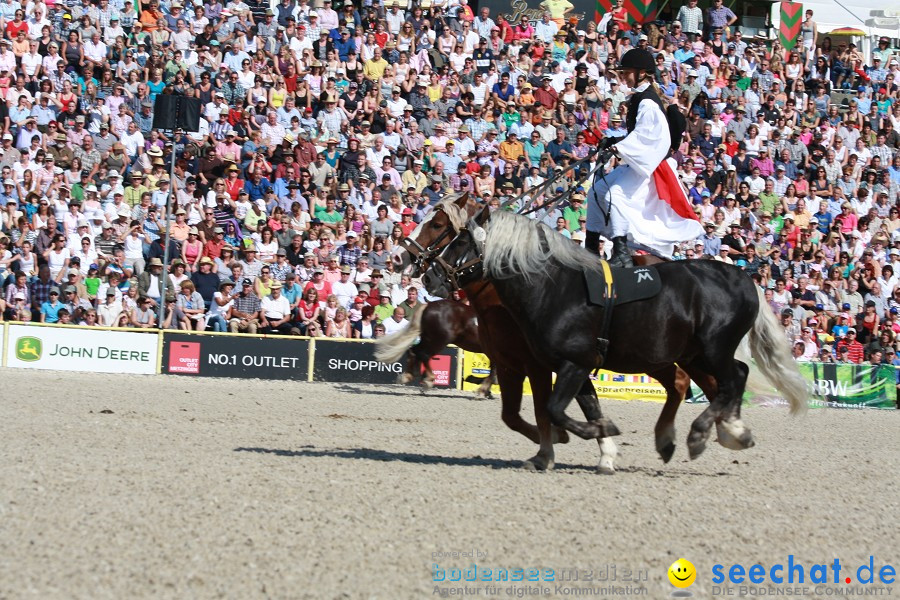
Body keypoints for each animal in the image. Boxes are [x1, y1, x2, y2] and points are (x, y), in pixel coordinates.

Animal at [396, 195, 704, 472]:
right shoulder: (512, 364)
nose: (400, 256)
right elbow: (514, 415)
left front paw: (553, 448)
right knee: (679, 382)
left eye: (437, 224)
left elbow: (543, 411)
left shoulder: (539, 365)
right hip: (654, 358)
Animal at [424, 209, 808, 462]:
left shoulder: (571, 363)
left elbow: (554, 409)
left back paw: (701, 434)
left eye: (458, 240)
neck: (555, 288)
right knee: (726, 380)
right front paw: (603, 448)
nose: (429, 276)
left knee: (730, 380)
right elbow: (583, 407)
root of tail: (744, 277)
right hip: (693, 354)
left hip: (713, 350)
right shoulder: (569, 367)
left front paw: (596, 434)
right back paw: (719, 433)